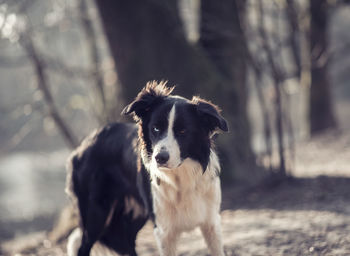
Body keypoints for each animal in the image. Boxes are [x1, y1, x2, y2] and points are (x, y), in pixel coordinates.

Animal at [67, 81, 228, 256]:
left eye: (183, 131)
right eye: (156, 129)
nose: (160, 158)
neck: (180, 178)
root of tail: (82, 146)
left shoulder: (211, 223)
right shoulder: (164, 231)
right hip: (96, 214)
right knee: (84, 246)